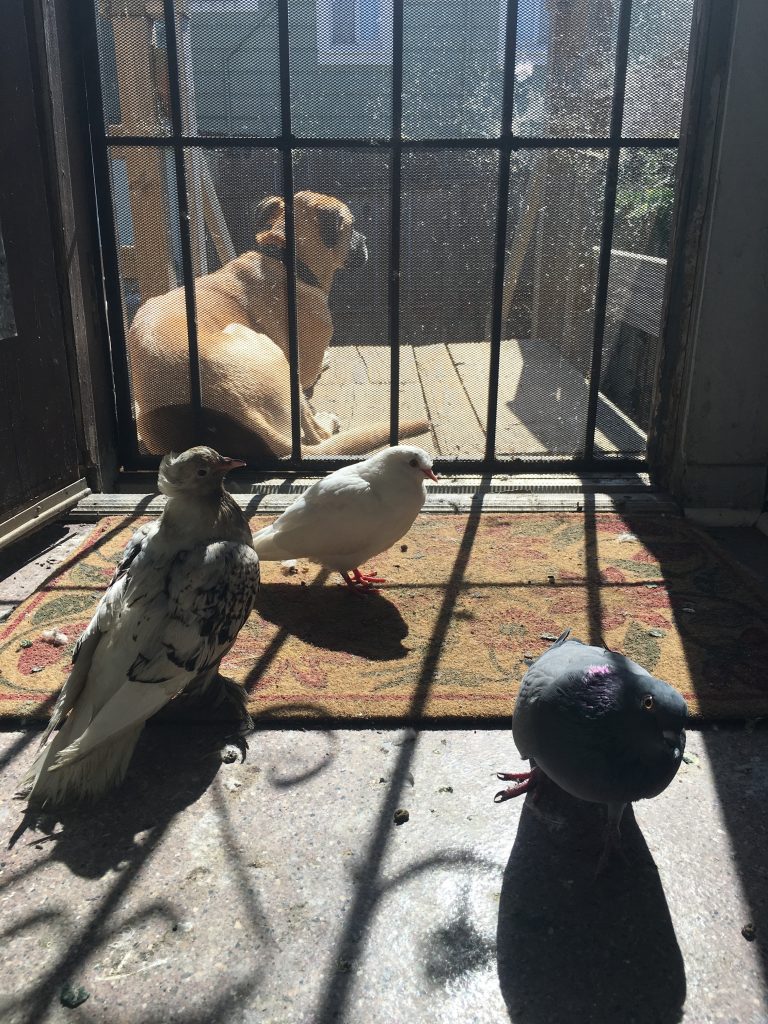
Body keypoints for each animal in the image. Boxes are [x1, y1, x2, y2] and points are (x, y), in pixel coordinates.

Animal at [123, 189, 430, 460]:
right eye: (351, 226)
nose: (365, 240)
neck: (286, 259)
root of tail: (237, 404)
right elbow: (312, 374)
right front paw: (325, 361)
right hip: (265, 347)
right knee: (317, 435)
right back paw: (326, 421)